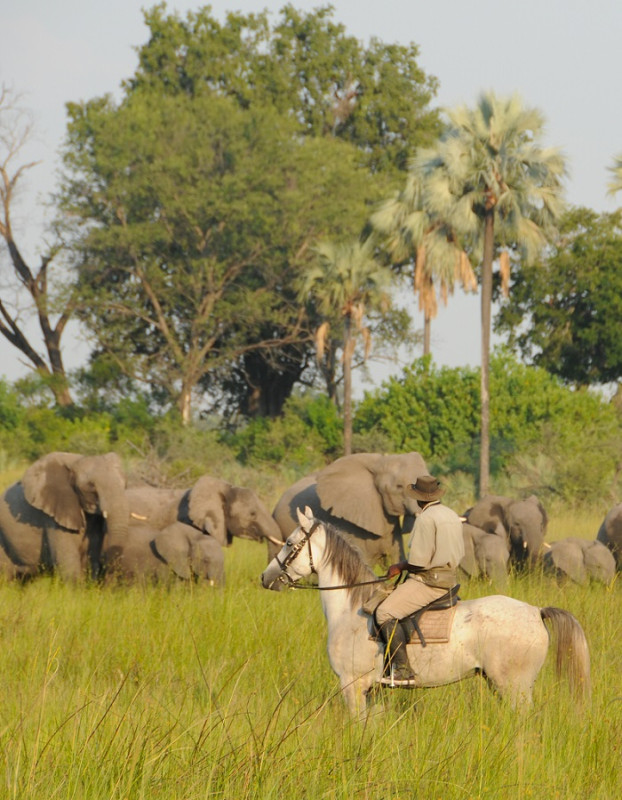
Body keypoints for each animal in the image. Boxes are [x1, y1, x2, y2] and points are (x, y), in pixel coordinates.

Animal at [0, 450, 128, 580]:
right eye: (91, 486)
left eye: (125, 484)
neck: (77, 460)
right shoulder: (53, 517)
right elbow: (68, 563)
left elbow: (91, 559)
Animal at [260, 506, 592, 720]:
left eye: (289, 543)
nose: (265, 578)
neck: (351, 609)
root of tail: (536, 612)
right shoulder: (372, 691)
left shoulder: (351, 686)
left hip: (515, 688)